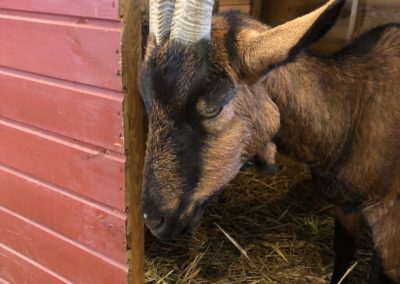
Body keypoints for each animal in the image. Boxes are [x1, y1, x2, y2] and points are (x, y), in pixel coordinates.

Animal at [138, 0, 400, 282]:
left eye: (212, 108)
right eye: (147, 101)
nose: (154, 220)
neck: (353, 107)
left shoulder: (389, 223)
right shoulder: (345, 204)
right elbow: (343, 251)